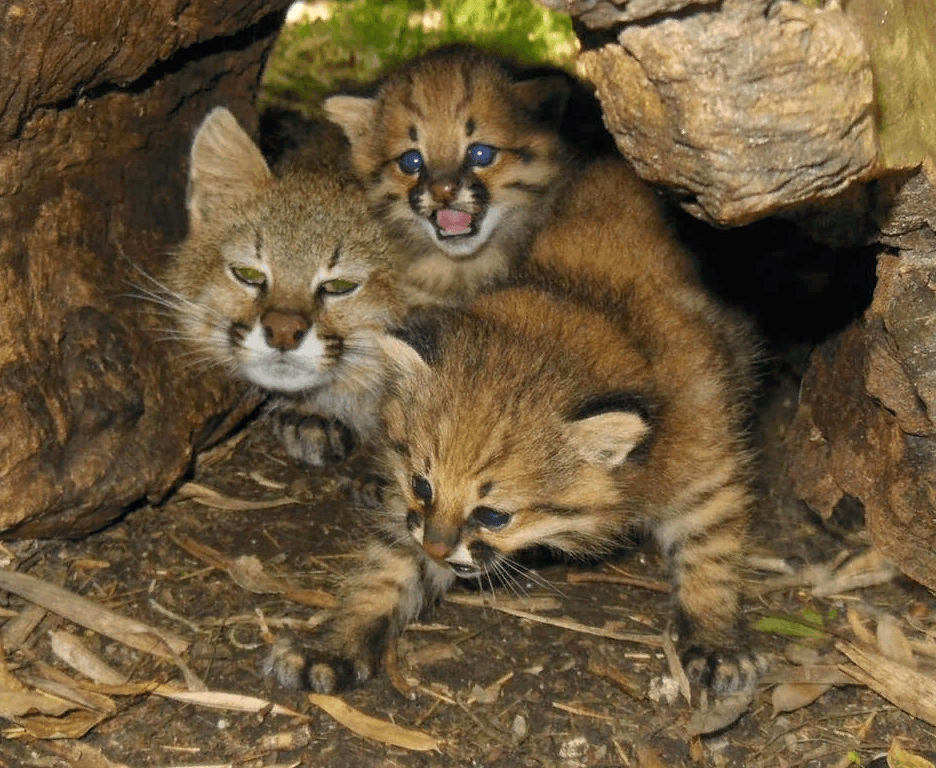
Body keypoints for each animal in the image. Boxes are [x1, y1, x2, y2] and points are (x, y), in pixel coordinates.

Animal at [266, 158, 764, 696]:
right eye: (422, 485)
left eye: (494, 515)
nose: (436, 547)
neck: (586, 304)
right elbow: (388, 569)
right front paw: (336, 643)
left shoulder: (707, 469)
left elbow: (710, 553)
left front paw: (715, 641)